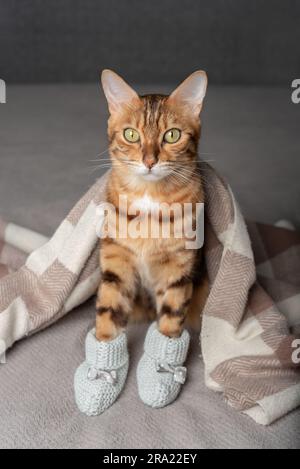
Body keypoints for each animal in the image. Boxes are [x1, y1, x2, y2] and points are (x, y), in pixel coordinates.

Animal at [96, 71, 209, 344]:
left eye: (172, 135)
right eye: (131, 134)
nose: (149, 161)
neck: (149, 196)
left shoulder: (179, 266)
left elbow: (172, 314)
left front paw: (166, 347)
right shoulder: (116, 256)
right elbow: (109, 307)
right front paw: (103, 344)